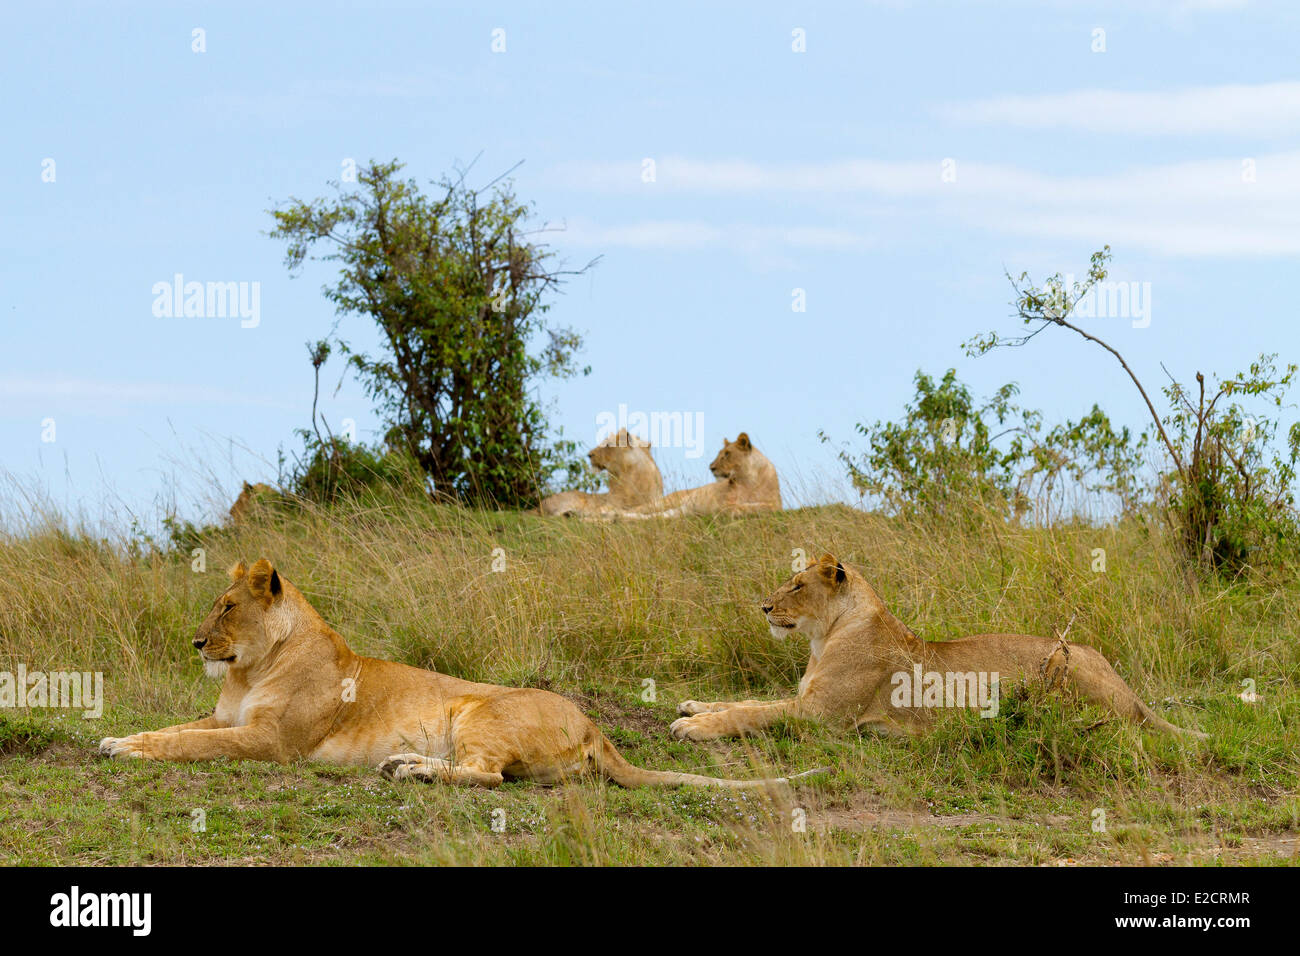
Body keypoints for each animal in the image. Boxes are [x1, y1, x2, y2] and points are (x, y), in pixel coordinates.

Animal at [99, 559, 786, 791]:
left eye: (227, 608)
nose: (195, 642)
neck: (247, 670)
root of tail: (595, 725)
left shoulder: (271, 741)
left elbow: (192, 743)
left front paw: (127, 749)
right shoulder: (227, 717)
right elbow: (179, 730)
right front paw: (119, 739)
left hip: (478, 712)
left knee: (488, 777)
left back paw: (412, 771)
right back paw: (404, 765)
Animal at [620, 433, 782, 518]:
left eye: (727, 454)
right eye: (720, 453)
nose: (711, 467)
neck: (749, 479)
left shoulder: (776, 503)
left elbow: (764, 506)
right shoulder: (724, 501)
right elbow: (733, 506)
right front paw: (735, 510)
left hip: (680, 511)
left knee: (655, 517)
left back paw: (618, 518)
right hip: (665, 502)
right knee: (638, 510)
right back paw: (615, 514)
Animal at [669, 553, 1206, 742]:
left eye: (797, 586)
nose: (764, 607)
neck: (825, 638)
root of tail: (1127, 687)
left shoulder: (820, 714)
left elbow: (753, 714)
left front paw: (693, 727)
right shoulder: (807, 699)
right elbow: (744, 701)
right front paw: (694, 705)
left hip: (1062, 668)